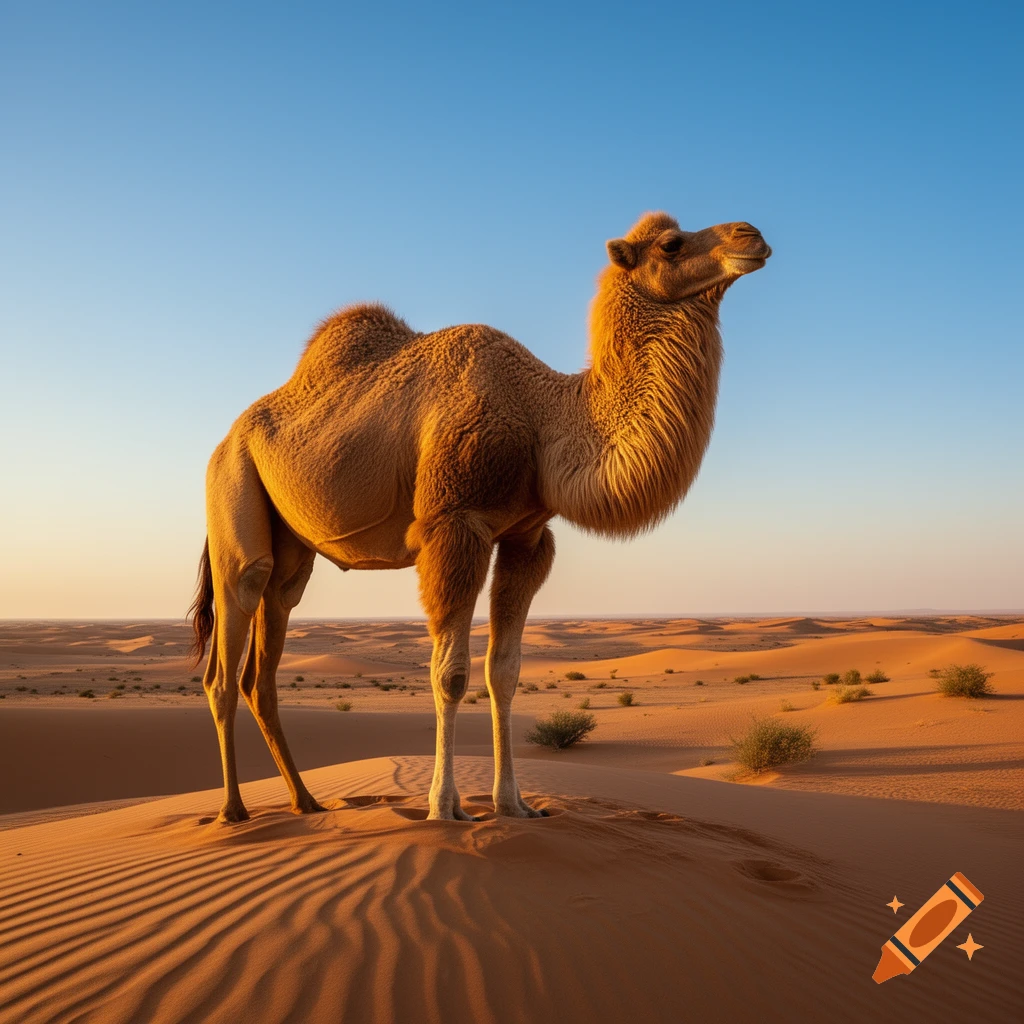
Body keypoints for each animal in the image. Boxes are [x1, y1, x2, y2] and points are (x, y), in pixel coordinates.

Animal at [188, 212, 771, 822]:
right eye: (671, 244)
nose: (751, 235)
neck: (543, 418)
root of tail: (226, 438)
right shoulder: (455, 523)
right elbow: (450, 673)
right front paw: (444, 808)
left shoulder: (526, 537)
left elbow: (504, 673)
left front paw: (514, 804)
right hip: (231, 483)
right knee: (229, 646)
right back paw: (233, 811)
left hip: (291, 548)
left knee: (267, 648)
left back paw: (306, 803)